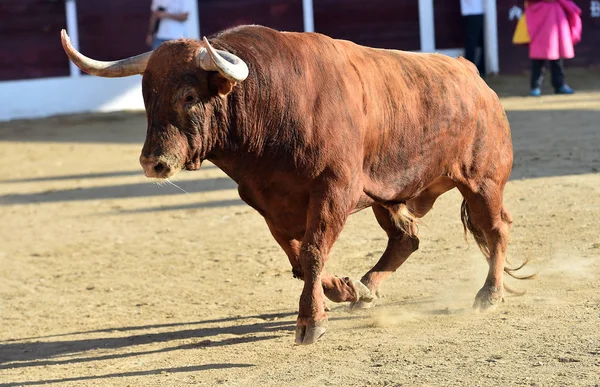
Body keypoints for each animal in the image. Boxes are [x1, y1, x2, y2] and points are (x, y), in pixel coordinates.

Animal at [58, 25, 524, 346]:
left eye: (189, 96)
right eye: (146, 95)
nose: (153, 163)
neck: (272, 104)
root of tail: (472, 75)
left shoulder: (334, 189)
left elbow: (314, 252)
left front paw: (311, 322)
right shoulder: (266, 203)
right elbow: (300, 258)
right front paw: (342, 289)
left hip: (482, 182)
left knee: (496, 229)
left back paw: (489, 295)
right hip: (387, 194)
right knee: (405, 240)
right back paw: (366, 289)